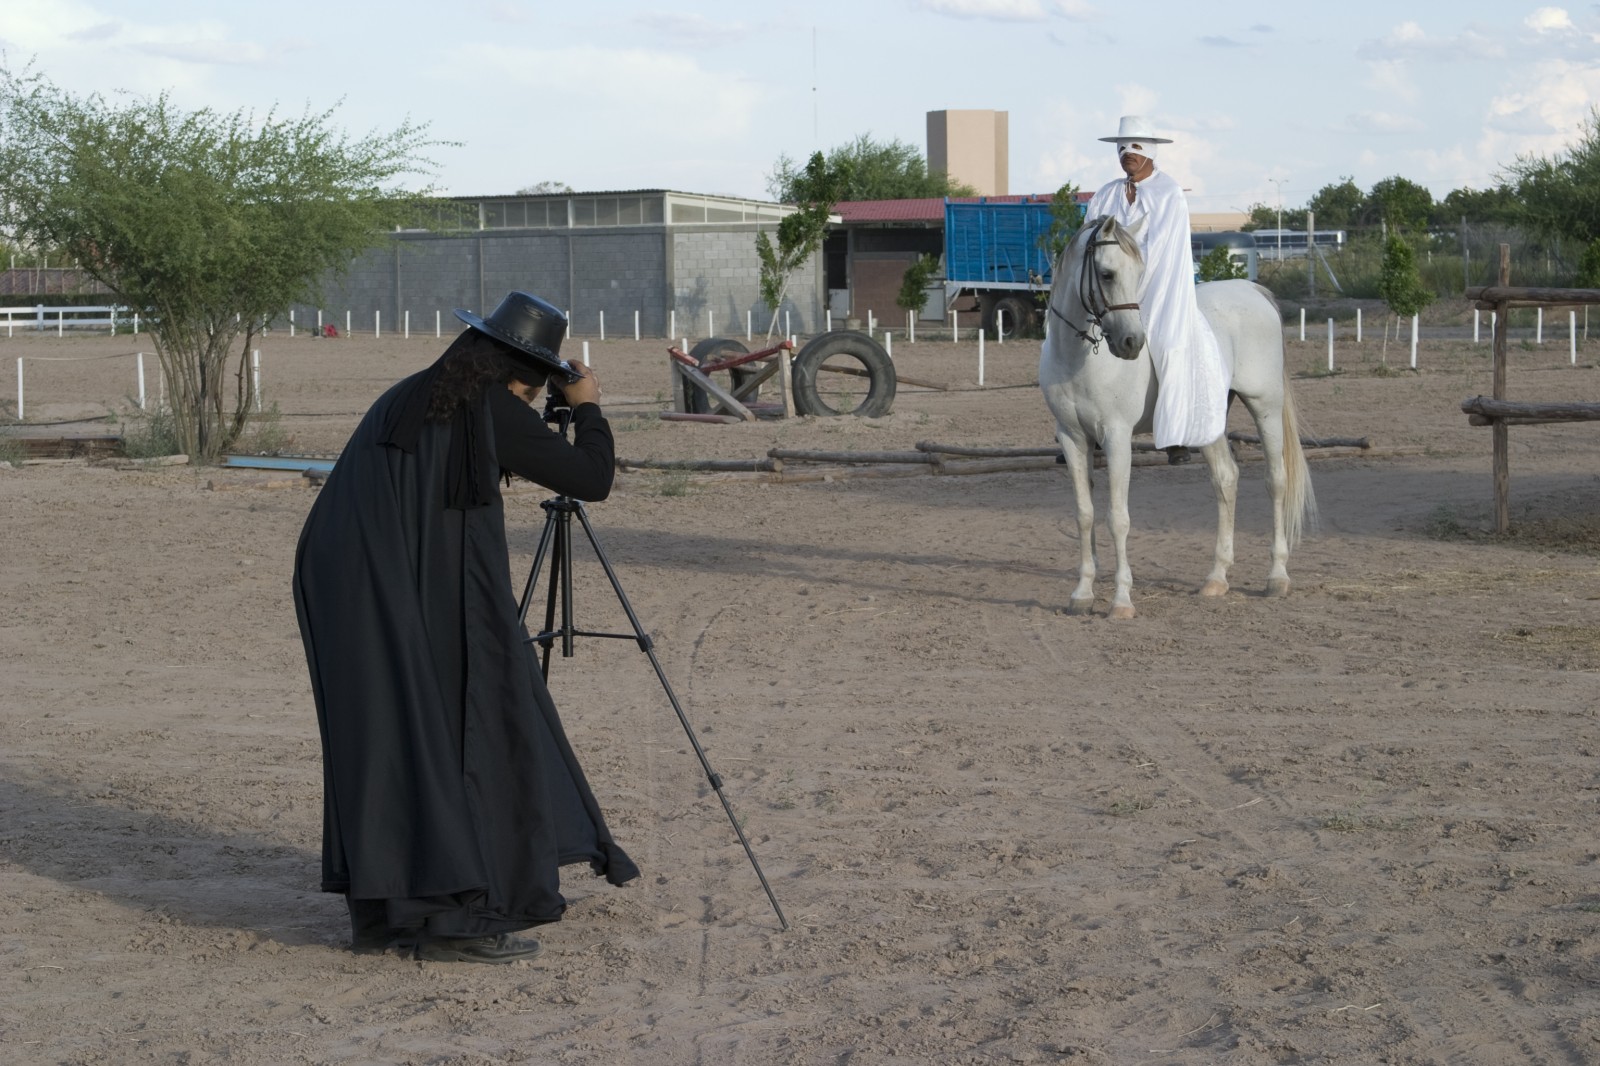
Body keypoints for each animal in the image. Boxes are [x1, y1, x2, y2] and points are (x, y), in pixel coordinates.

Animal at [1036, 216, 1312, 614]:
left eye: (1139, 272)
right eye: (1106, 274)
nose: (1132, 343)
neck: (1080, 358)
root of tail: (1251, 289)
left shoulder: (1117, 438)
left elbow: (1117, 518)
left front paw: (1121, 600)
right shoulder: (1072, 438)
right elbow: (1084, 513)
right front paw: (1082, 593)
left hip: (1266, 407)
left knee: (1275, 480)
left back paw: (1277, 576)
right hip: (1209, 425)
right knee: (1225, 478)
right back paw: (1217, 578)